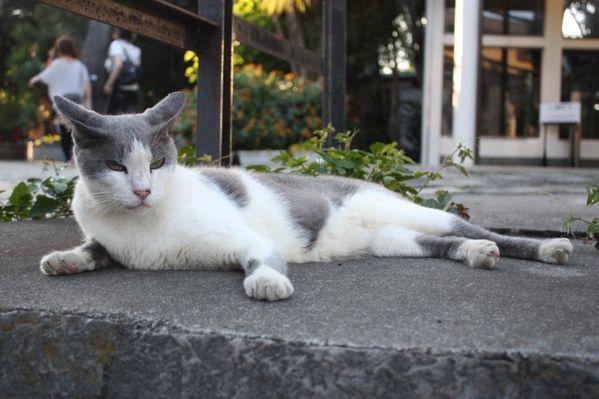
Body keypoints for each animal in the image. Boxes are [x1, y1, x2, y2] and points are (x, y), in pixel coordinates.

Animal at [39, 92, 576, 302]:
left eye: (154, 163)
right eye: (116, 167)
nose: (144, 190)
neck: (142, 223)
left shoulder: (246, 239)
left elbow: (263, 259)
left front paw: (267, 283)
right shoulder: (108, 238)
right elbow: (94, 249)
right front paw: (64, 259)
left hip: (415, 212)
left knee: (476, 228)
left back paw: (543, 248)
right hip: (393, 240)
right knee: (441, 245)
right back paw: (476, 255)